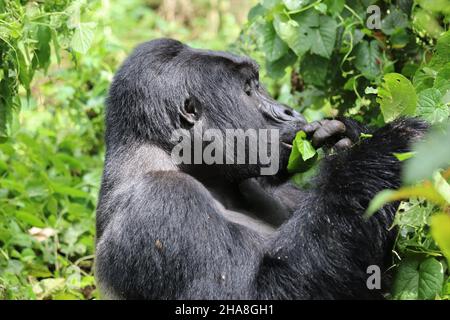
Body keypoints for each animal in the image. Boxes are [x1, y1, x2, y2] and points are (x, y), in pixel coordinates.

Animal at [94, 38, 426, 298]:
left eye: (257, 84)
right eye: (247, 90)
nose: (288, 111)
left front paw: (352, 137)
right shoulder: (163, 200)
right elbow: (253, 292)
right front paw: (381, 150)